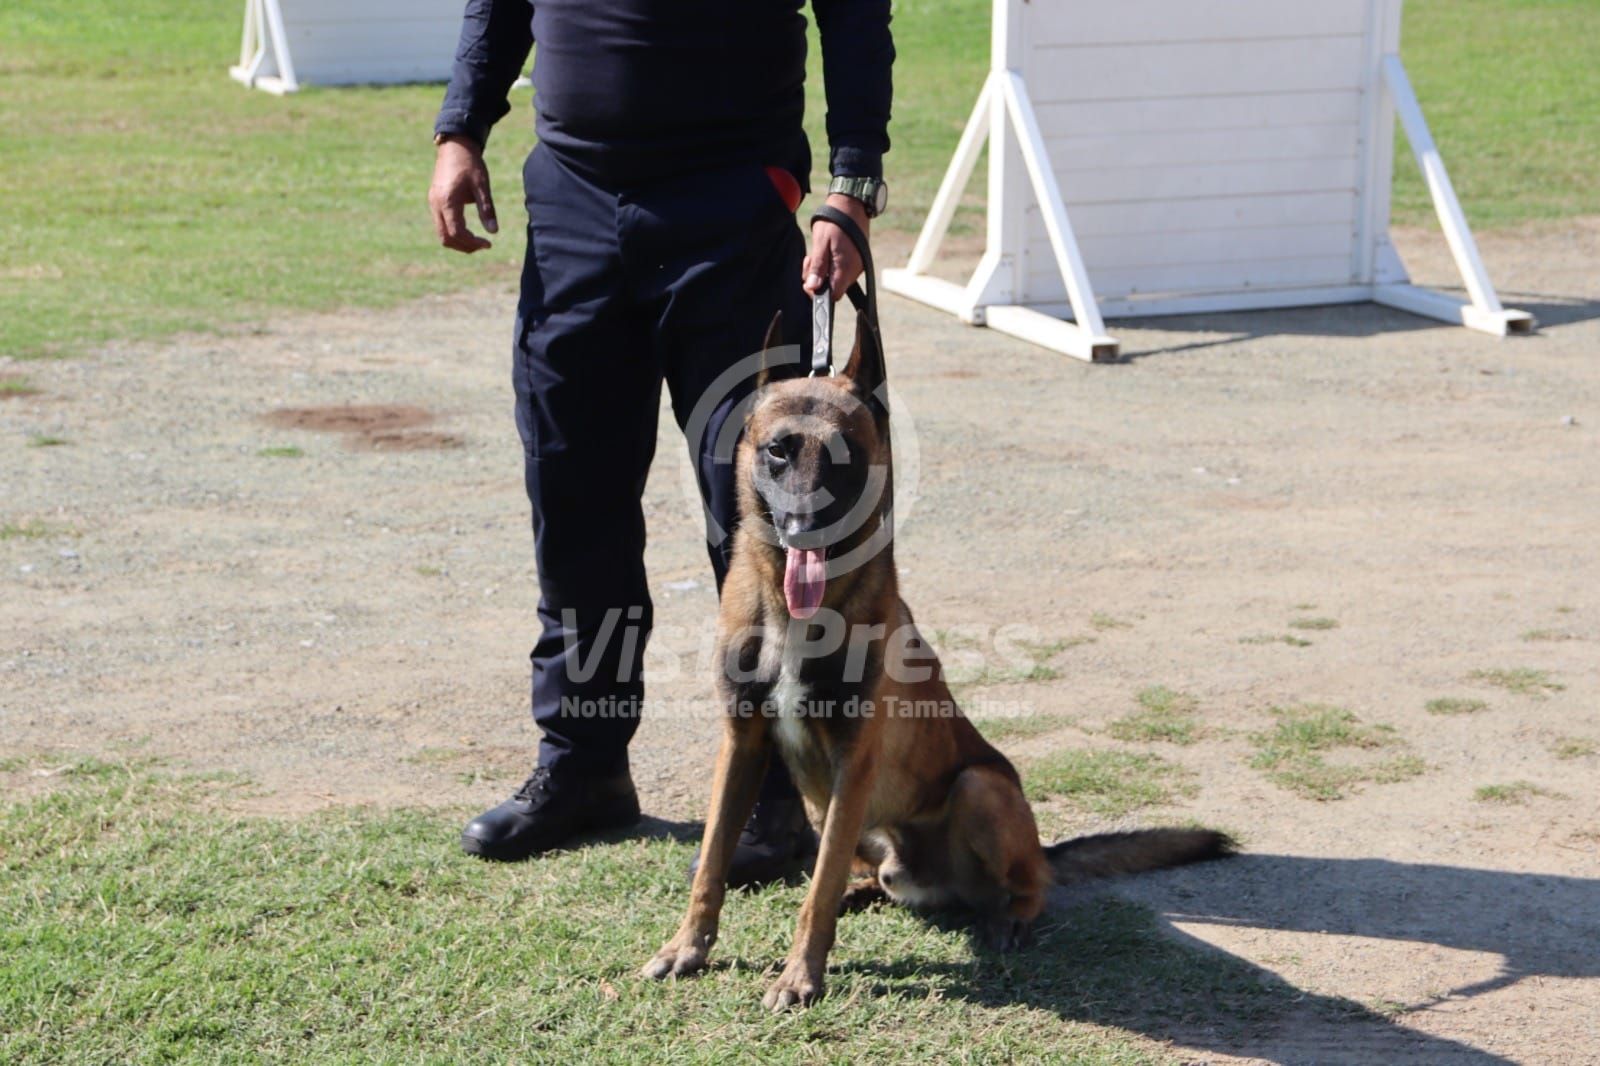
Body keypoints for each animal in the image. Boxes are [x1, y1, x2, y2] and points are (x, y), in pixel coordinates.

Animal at [640, 312, 1235, 1011]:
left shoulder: (853, 763)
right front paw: (687, 948)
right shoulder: (742, 745)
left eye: (843, 454)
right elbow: (714, 862)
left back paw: (1007, 917)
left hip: (979, 789)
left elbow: (813, 893)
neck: (795, 614)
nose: (804, 528)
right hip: (837, 815)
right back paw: (864, 890)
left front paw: (799, 975)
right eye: (778, 451)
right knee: (858, 873)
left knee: (1027, 886)